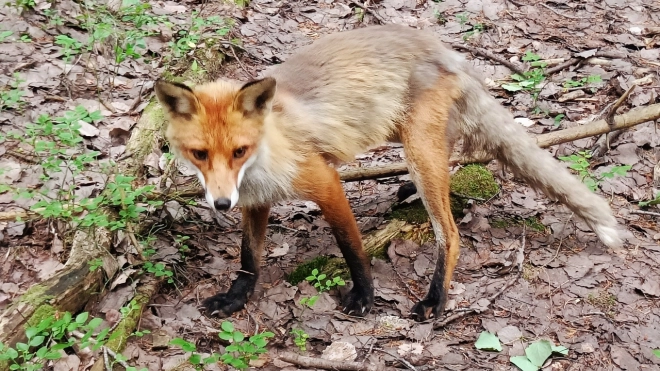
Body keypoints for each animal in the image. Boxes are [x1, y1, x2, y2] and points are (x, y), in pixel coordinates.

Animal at [155, 24, 624, 322]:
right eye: (200, 154)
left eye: (239, 151)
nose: (221, 203)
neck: (267, 149)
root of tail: (446, 49)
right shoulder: (255, 201)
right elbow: (248, 259)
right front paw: (236, 299)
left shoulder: (325, 181)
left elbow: (351, 248)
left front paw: (364, 296)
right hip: (412, 140)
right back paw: (405, 195)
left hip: (419, 151)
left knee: (450, 234)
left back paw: (435, 299)